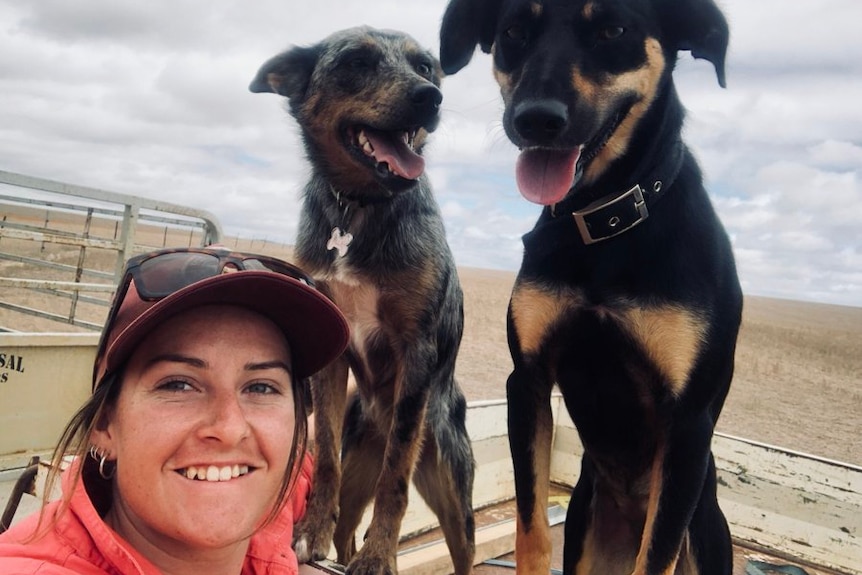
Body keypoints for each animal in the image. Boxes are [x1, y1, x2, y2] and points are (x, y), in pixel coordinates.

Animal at [250, 25, 480, 575]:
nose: (430, 98)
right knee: (347, 525)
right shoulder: (333, 351)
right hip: (361, 470)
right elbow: (326, 455)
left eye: (426, 67)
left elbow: (396, 475)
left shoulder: (416, 350)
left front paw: (379, 557)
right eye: (356, 61)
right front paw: (309, 531)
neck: (358, 206)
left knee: (463, 549)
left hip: (453, 489)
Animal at [442, 1, 744, 575]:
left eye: (613, 30)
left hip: (704, 527)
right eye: (514, 31)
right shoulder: (529, 381)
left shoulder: (686, 421)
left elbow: (656, 556)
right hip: (585, 517)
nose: (535, 119)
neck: (606, 219)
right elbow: (532, 528)